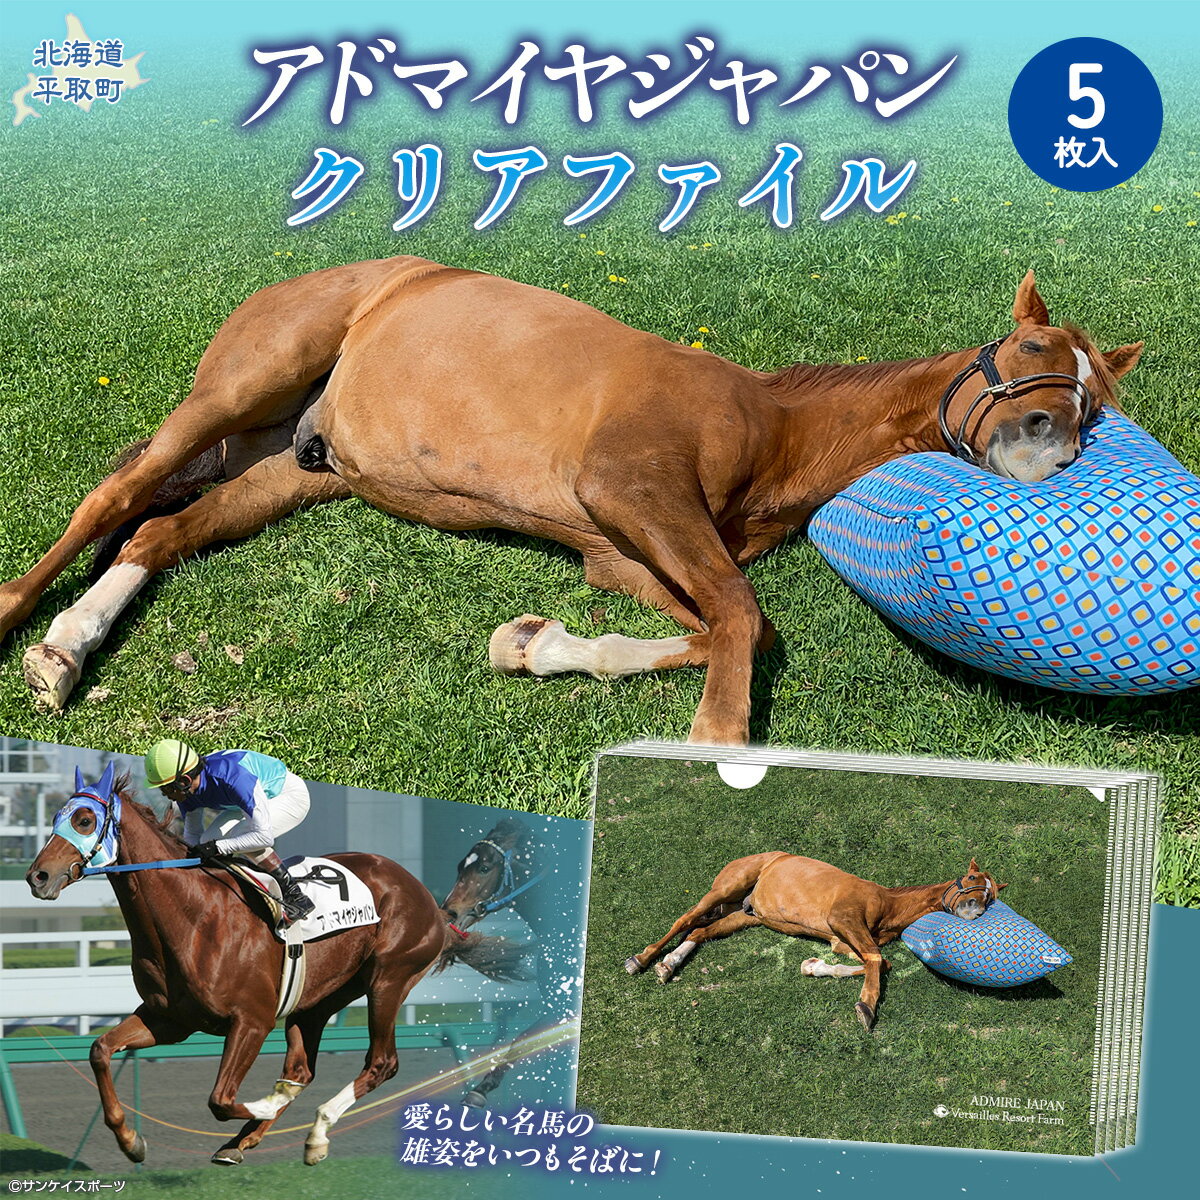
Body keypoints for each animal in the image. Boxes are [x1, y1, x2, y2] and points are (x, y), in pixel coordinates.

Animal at [0, 262, 1142, 744]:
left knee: (164, 526)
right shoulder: (632, 491)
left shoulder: (625, 550)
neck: (768, 423)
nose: (1050, 452)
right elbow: (743, 623)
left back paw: (67, 649)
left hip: (297, 465)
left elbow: (716, 627)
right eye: (1028, 350)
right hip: (240, 390)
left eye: (1099, 401)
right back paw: (26, 623)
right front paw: (717, 747)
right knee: (116, 494)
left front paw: (535, 646)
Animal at [24, 764, 449, 1167]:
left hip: (388, 979)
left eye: (84, 820)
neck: (194, 918)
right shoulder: (169, 1019)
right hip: (318, 999)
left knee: (381, 1063)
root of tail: (426, 896)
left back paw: (314, 1131)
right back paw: (245, 1140)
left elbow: (221, 1098)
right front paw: (131, 1142)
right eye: (54, 817)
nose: (37, 876)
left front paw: (268, 1103)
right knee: (301, 1070)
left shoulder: (252, 1021)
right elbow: (100, 1050)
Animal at [440, 817, 574, 1107]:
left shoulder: (563, 1006)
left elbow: (526, 1041)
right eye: (459, 866)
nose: (448, 913)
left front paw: (480, 1089)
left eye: (484, 867)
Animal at [624, 853, 1005, 1030]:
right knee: (685, 920)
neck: (886, 903)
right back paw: (641, 960)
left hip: (744, 915)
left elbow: (880, 961)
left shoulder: (843, 940)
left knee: (699, 932)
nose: (973, 910)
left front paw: (813, 966)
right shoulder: (844, 921)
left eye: (991, 897)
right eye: (972, 879)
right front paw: (866, 1008)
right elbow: (877, 960)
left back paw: (668, 965)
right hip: (724, 890)